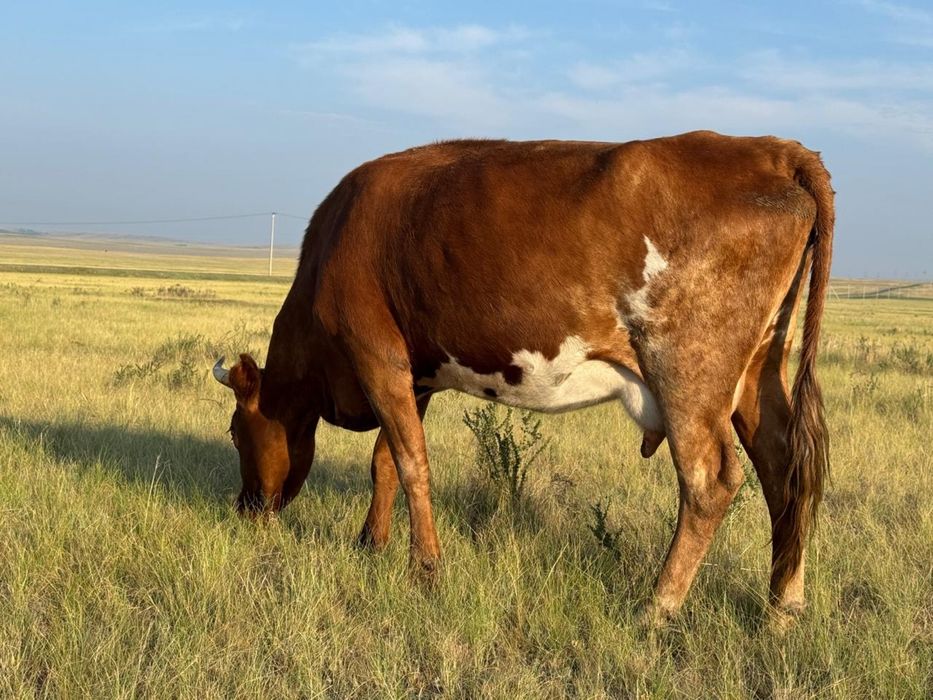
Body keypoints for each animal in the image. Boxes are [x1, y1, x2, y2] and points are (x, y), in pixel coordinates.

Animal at [212, 131, 833, 623]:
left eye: (236, 433)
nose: (245, 508)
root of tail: (771, 149)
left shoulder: (375, 353)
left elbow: (411, 463)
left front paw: (425, 570)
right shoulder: (416, 374)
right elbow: (386, 460)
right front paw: (372, 544)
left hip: (687, 370)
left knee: (711, 480)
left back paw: (657, 607)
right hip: (759, 371)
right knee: (784, 468)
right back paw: (783, 607)